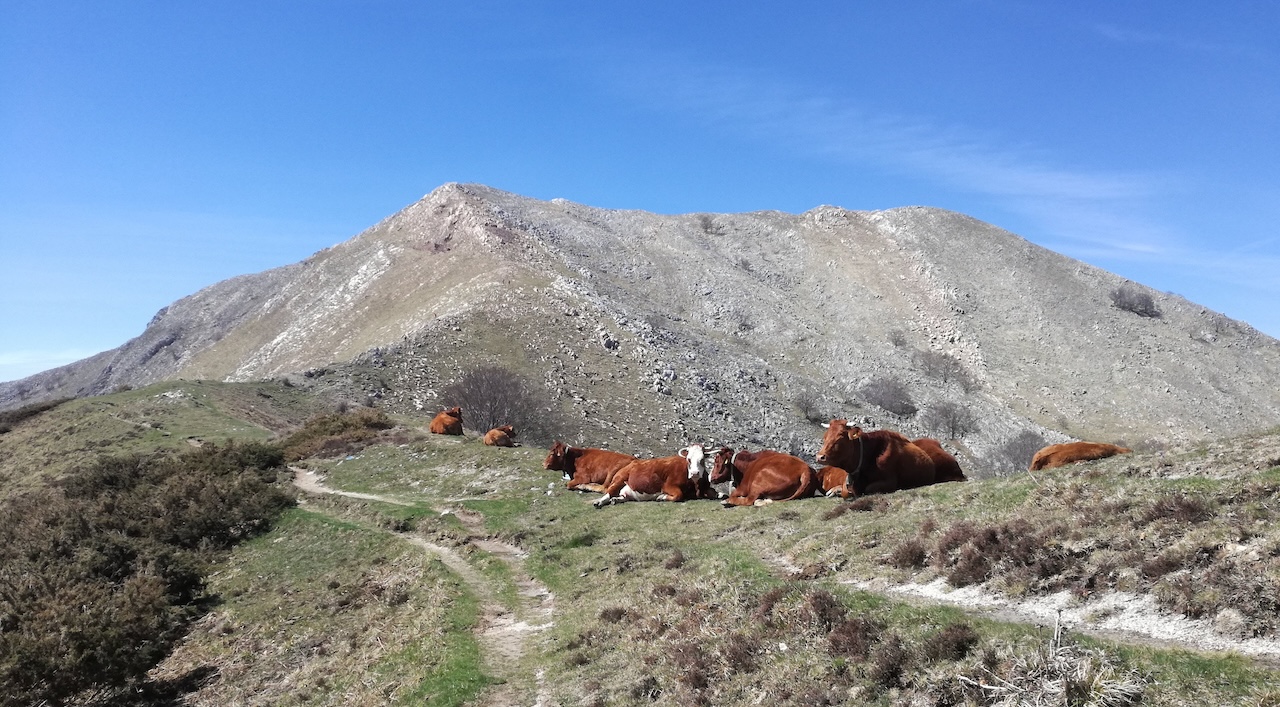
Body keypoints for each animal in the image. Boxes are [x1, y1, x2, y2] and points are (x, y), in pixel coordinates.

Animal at [591, 440, 721, 507]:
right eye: (688, 459)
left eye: (702, 459)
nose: (694, 473)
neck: (695, 485)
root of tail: (631, 463)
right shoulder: (668, 486)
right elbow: (678, 495)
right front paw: (661, 497)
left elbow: (717, 494)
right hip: (619, 479)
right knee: (608, 493)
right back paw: (598, 502)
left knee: (621, 496)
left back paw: (616, 500)